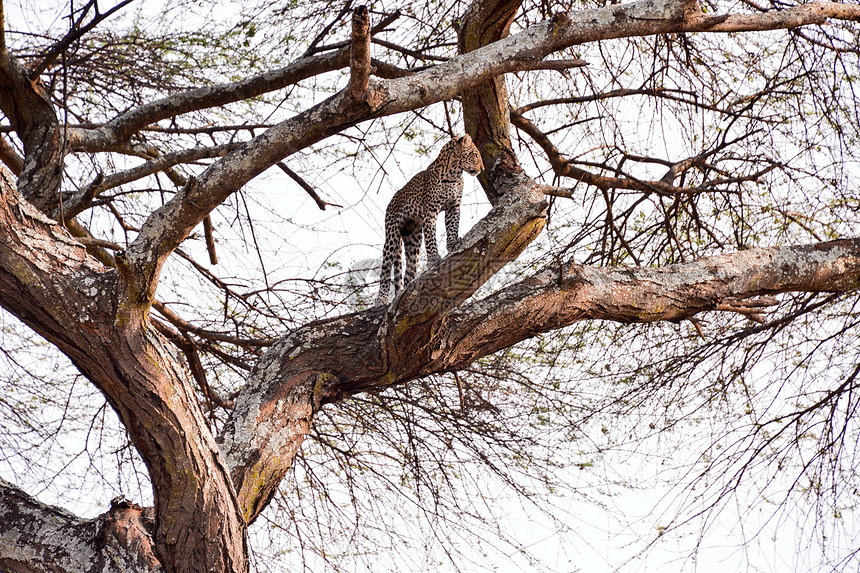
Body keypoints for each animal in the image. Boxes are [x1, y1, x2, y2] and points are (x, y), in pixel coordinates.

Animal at [376, 135, 484, 304]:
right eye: (475, 155)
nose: (483, 169)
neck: (454, 175)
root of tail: (392, 200)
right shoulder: (430, 211)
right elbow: (430, 237)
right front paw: (434, 258)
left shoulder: (454, 206)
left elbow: (452, 226)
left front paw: (452, 243)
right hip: (392, 235)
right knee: (386, 267)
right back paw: (381, 298)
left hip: (413, 239)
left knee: (408, 272)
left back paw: (407, 289)